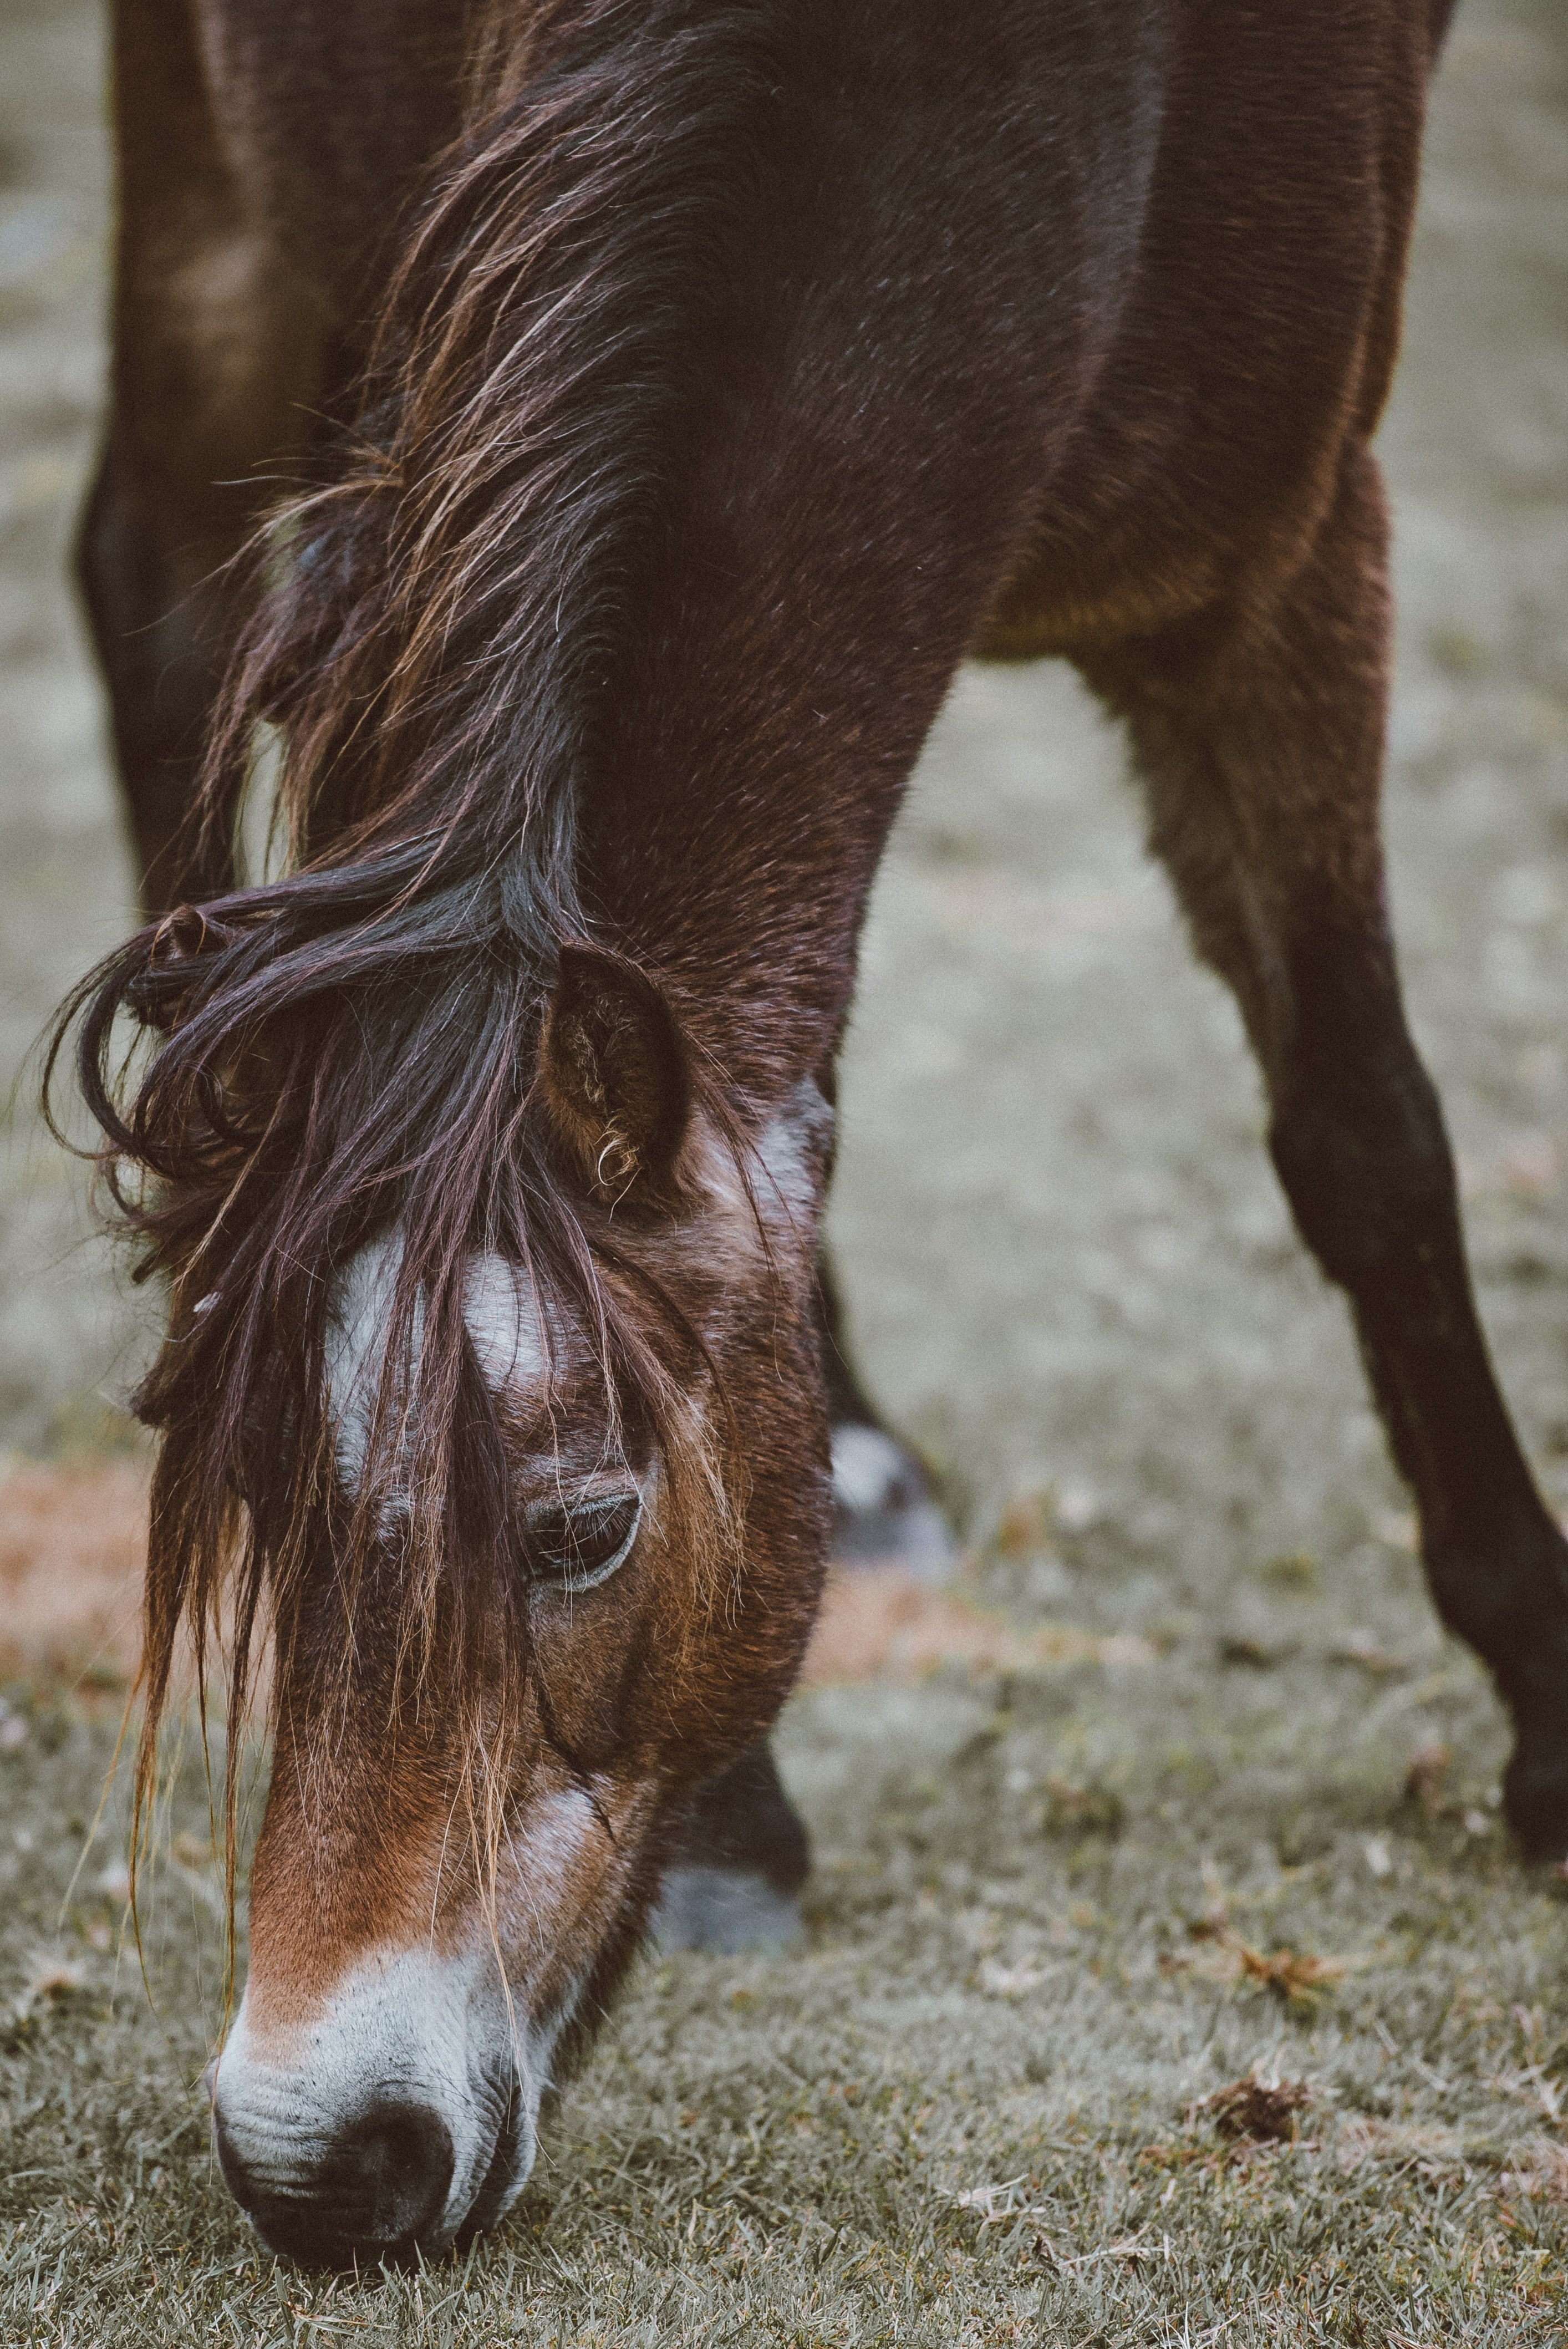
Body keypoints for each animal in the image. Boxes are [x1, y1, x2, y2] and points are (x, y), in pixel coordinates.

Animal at [57, 0, 1567, 2275]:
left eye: (588, 1524)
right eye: (249, 1506)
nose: (316, 2165)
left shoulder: (1292, 570)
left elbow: (1366, 1142)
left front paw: (1550, 1715)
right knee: (153, 578)